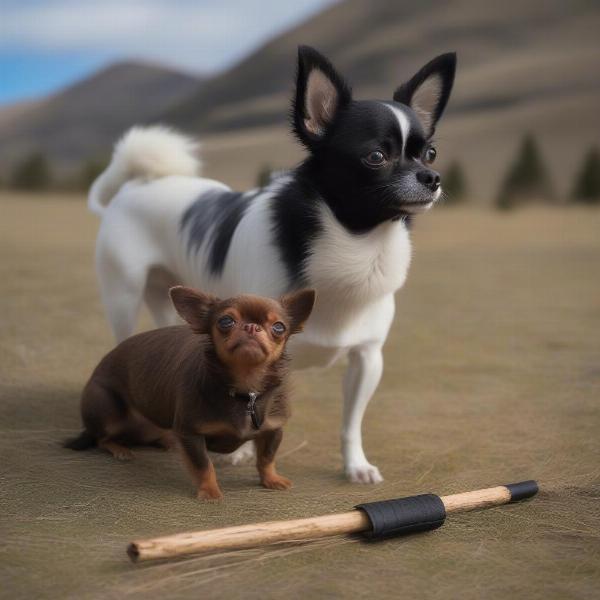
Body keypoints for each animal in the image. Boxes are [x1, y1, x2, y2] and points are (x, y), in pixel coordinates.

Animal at [65, 288, 316, 502]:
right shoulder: (191, 433)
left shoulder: (273, 429)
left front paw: (271, 480)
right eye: (226, 321)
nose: (252, 327)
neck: (246, 390)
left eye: (279, 327)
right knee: (102, 438)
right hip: (107, 410)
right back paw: (121, 449)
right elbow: (203, 465)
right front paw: (209, 491)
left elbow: (266, 458)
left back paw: (166, 441)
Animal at [88, 45, 454, 482]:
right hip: (122, 297)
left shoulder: (367, 359)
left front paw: (356, 465)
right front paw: (239, 452)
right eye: (376, 156)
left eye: (430, 152)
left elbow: (351, 421)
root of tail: (138, 182)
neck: (357, 242)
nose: (432, 177)